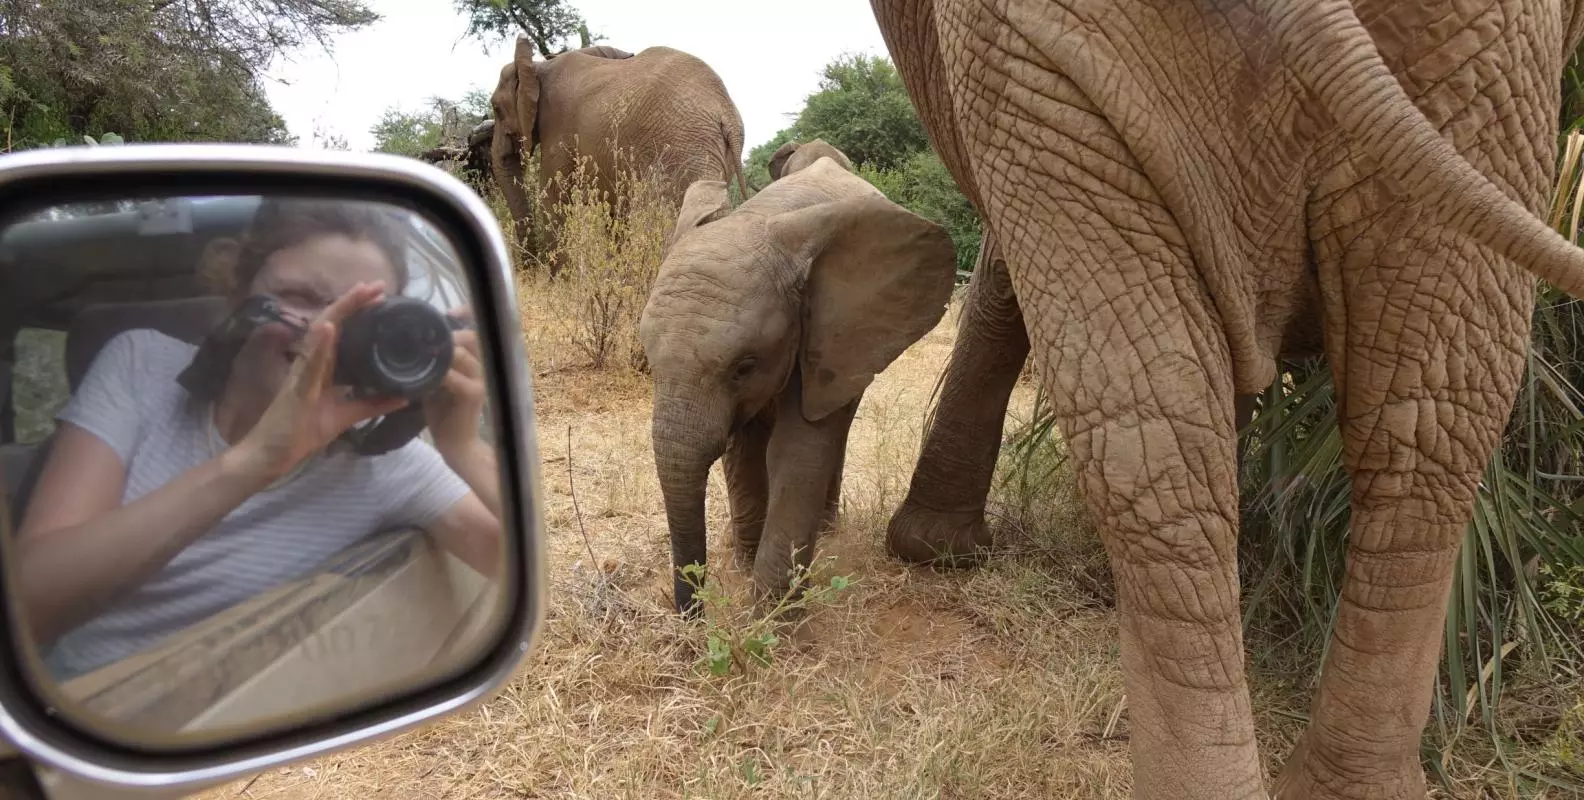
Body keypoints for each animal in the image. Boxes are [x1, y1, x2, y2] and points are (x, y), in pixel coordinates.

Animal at [488, 39, 752, 275]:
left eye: (496, 109)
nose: (528, 272)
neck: (538, 67)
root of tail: (725, 110)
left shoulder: (558, 127)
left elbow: (553, 196)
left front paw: (558, 282)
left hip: (686, 147)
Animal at [639, 157, 958, 613]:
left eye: (744, 367)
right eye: (649, 360)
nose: (693, 612)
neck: (760, 218)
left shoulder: (826, 333)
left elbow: (797, 453)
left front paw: (774, 616)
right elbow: (742, 449)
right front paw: (746, 567)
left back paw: (825, 530)